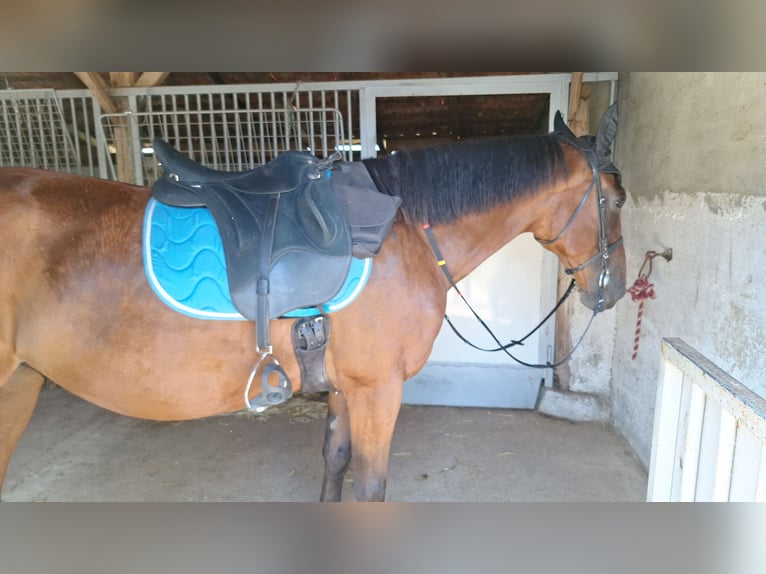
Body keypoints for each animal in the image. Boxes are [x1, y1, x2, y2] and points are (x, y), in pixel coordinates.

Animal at [0, 108, 626, 501]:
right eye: (617, 199)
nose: (615, 288)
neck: (405, 229)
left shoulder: (346, 388)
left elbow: (335, 461)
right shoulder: (378, 390)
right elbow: (370, 485)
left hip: (21, 385)